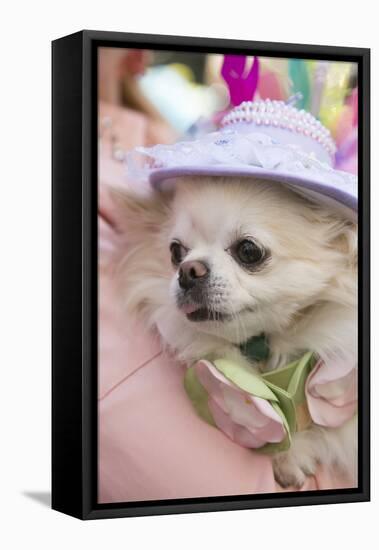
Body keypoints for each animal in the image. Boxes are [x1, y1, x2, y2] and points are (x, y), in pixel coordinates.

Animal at [116, 176, 360, 488]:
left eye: (248, 250)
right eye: (175, 252)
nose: (187, 270)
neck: (268, 343)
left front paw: (292, 454)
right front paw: (290, 453)